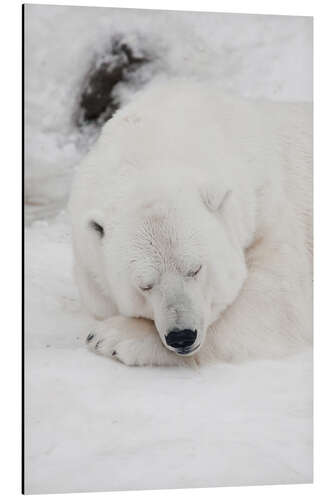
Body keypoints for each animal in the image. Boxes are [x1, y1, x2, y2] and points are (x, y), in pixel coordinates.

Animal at [68, 79, 312, 368]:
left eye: (196, 269)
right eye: (144, 284)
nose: (182, 335)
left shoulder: (268, 206)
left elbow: (275, 301)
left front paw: (113, 337)